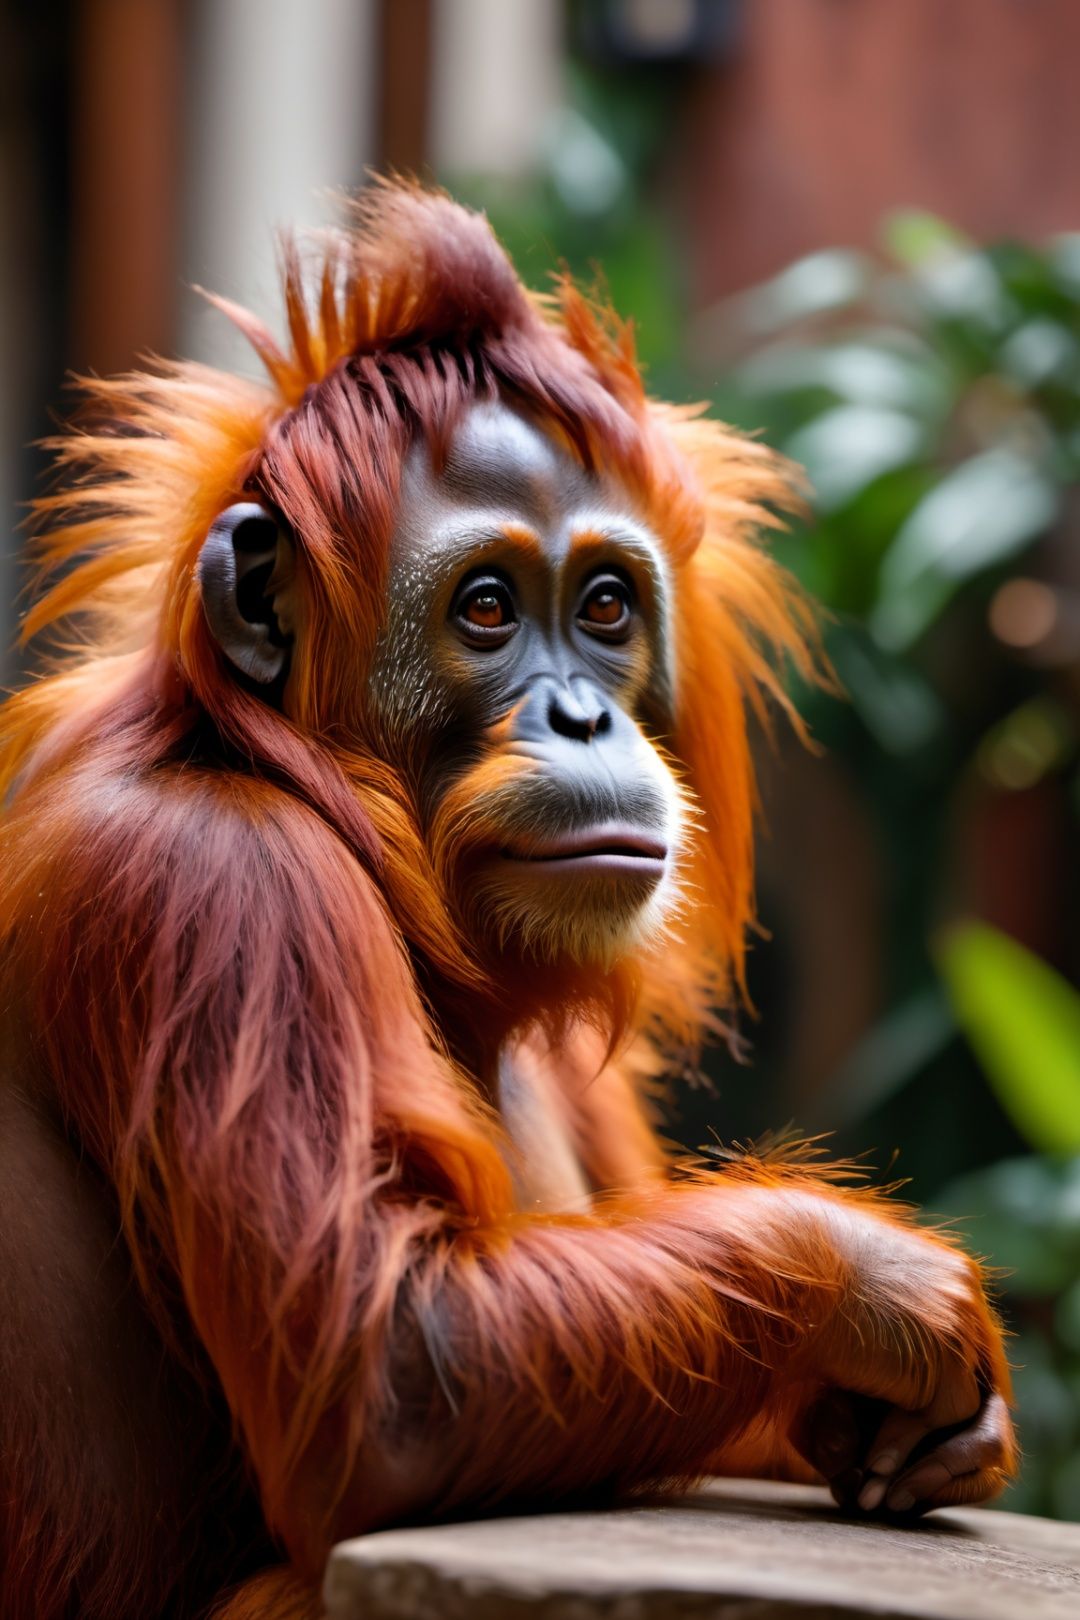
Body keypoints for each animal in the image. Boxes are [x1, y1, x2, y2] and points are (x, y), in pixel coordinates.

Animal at [0, 182, 1015, 1620]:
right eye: (484, 608)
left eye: (605, 606)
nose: (584, 714)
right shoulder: (213, 878)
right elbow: (394, 1381)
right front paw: (877, 1286)